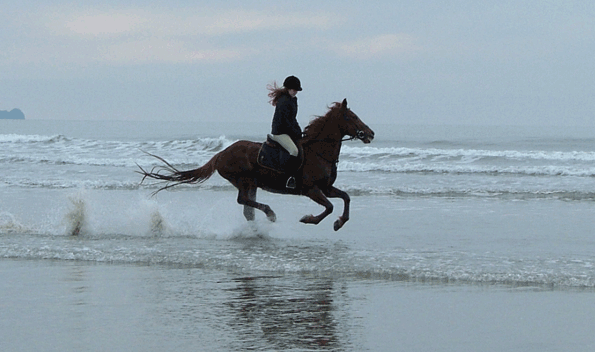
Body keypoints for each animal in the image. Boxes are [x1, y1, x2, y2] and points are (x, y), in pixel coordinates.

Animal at [137, 99, 374, 231]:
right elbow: (329, 207)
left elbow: (346, 198)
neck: (319, 152)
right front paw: (309, 219)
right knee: (244, 201)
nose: (370, 133)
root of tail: (221, 153)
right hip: (245, 180)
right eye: (352, 117)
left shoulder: (326, 187)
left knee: (247, 208)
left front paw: (339, 223)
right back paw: (270, 214)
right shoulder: (311, 190)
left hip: (251, 183)